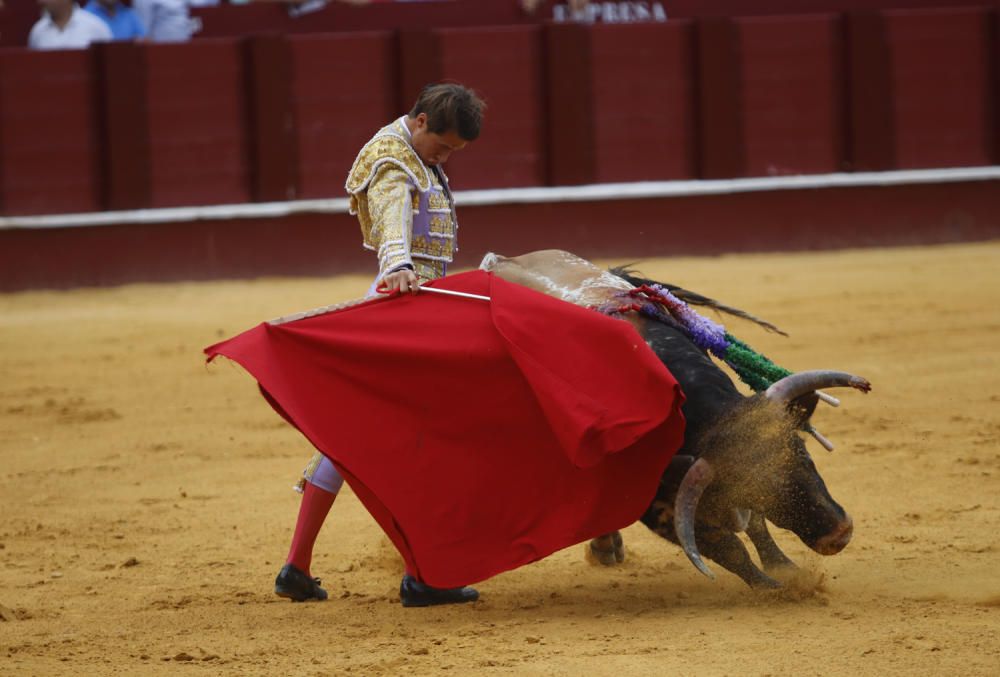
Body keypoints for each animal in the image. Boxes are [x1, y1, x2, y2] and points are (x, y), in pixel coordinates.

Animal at [482, 248, 868, 588]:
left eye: (805, 458)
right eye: (762, 495)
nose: (838, 534)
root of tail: (503, 260)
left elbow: (755, 527)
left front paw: (784, 567)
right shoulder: (660, 502)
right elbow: (726, 547)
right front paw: (779, 589)